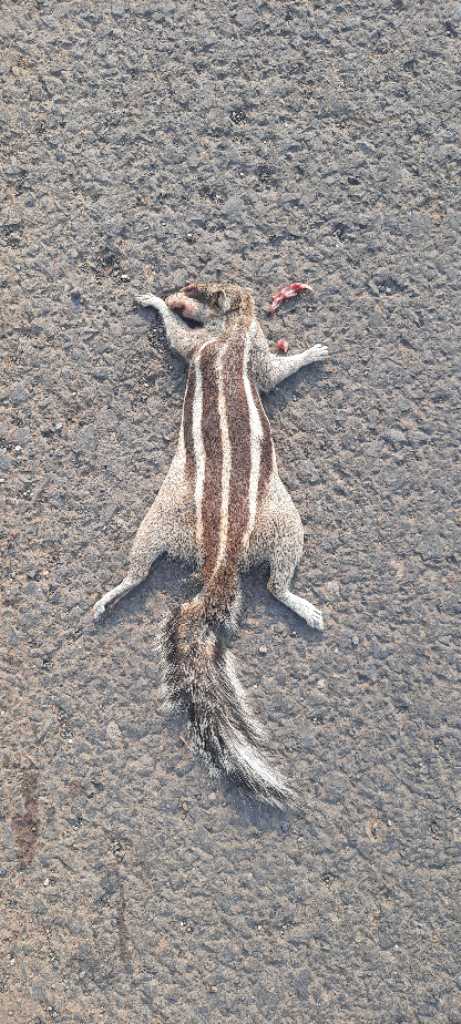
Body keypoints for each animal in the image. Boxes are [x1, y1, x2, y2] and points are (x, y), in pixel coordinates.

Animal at [93, 282, 328, 808]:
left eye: (194, 291)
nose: (171, 295)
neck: (231, 331)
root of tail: (222, 553)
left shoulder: (228, 346)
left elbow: (187, 342)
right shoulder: (241, 350)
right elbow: (269, 371)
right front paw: (310, 353)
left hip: (180, 521)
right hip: (271, 522)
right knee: (273, 585)